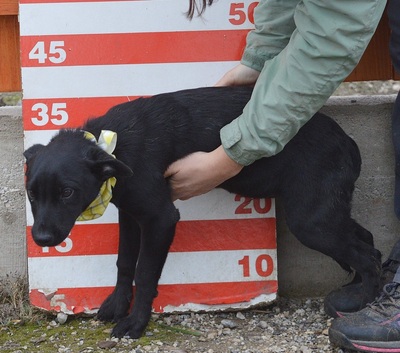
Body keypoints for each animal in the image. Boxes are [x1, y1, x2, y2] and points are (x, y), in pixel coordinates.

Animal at [25, 86, 382, 338]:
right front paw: (116, 304)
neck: (113, 144)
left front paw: (136, 323)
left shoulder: (159, 219)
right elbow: (124, 262)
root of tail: (348, 142)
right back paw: (355, 290)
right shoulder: (130, 213)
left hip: (311, 220)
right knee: (366, 239)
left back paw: (367, 302)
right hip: (326, 213)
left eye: (68, 192)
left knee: (369, 255)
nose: (41, 239)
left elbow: (145, 272)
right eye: (31, 192)